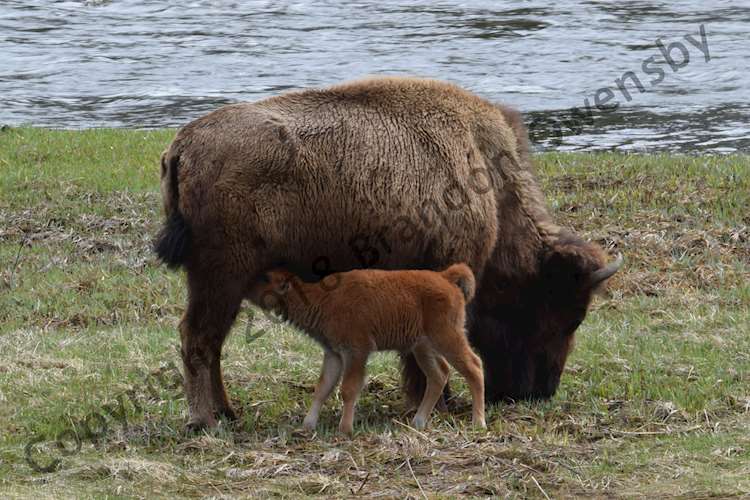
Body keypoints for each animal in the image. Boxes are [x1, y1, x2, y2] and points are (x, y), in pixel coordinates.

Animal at [247, 266, 488, 434]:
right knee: (439, 374)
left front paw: (345, 429)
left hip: (447, 338)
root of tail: (445, 277)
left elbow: (348, 388)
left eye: (266, 278)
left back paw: (478, 422)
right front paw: (307, 425)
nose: (246, 287)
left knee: (474, 367)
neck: (322, 297)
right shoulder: (334, 354)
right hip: (422, 347)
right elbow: (323, 387)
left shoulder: (356, 352)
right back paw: (418, 422)